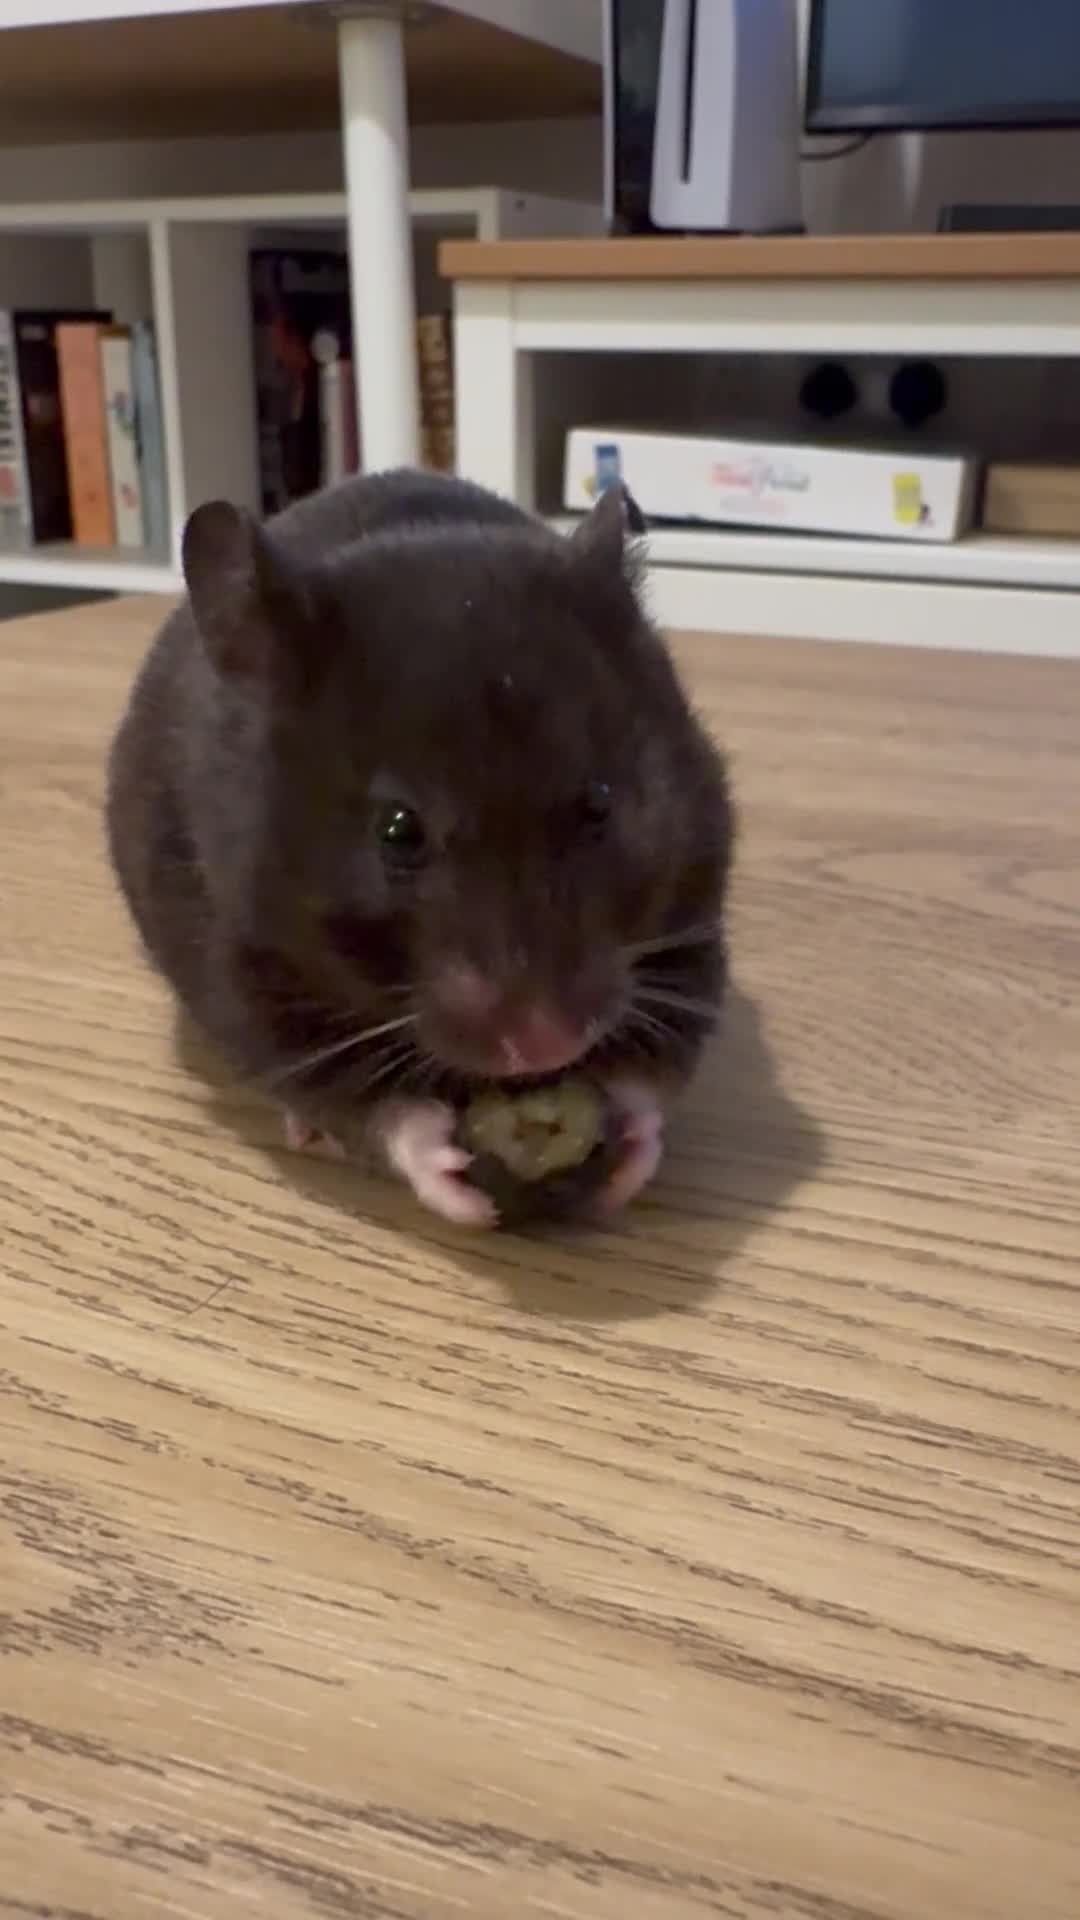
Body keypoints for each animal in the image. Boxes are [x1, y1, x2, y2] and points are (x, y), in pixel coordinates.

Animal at [106, 469, 734, 1228]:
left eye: (601, 802)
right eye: (398, 830)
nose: (546, 1046)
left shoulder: (696, 921)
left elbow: (654, 1071)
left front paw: (626, 1154)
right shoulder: (244, 972)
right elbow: (368, 1103)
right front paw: (453, 1178)